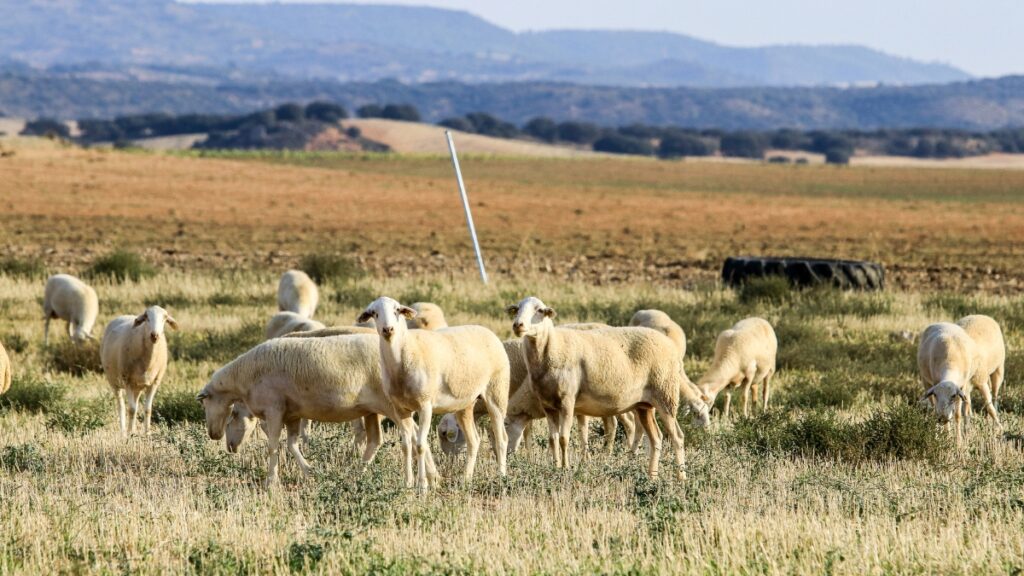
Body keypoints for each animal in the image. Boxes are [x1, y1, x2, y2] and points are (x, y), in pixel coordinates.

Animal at [99, 305, 178, 434]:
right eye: (147, 318)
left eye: (165, 318)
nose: (154, 335)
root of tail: (123, 315)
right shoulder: (127, 381)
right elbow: (131, 409)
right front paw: (130, 433)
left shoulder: (154, 383)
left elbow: (147, 409)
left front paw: (147, 433)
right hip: (114, 381)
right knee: (121, 406)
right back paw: (124, 431)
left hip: (137, 387)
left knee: (135, 403)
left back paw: (133, 429)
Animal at [200, 332, 440, 483]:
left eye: (233, 414)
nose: (213, 435)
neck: (243, 378)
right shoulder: (292, 414)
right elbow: (292, 445)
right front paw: (309, 472)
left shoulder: (274, 409)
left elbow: (273, 447)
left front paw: (271, 481)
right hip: (372, 408)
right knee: (377, 440)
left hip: (391, 405)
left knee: (412, 434)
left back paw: (421, 478)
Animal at [360, 295, 512, 487]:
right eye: (374, 313)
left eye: (397, 310)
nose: (388, 329)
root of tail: (489, 332)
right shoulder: (400, 408)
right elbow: (406, 446)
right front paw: (408, 484)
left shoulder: (425, 405)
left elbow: (420, 445)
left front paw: (422, 486)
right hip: (465, 403)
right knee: (474, 440)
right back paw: (466, 478)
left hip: (496, 392)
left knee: (502, 439)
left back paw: (501, 476)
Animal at [505, 293, 712, 477]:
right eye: (517, 309)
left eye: (539, 310)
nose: (517, 325)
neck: (553, 347)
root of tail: (670, 345)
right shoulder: (548, 405)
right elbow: (552, 439)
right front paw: (555, 467)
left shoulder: (567, 402)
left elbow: (564, 439)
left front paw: (565, 469)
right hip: (644, 405)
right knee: (656, 438)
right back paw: (651, 476)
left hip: (665, 395)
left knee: (677, 437)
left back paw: (681, 477)